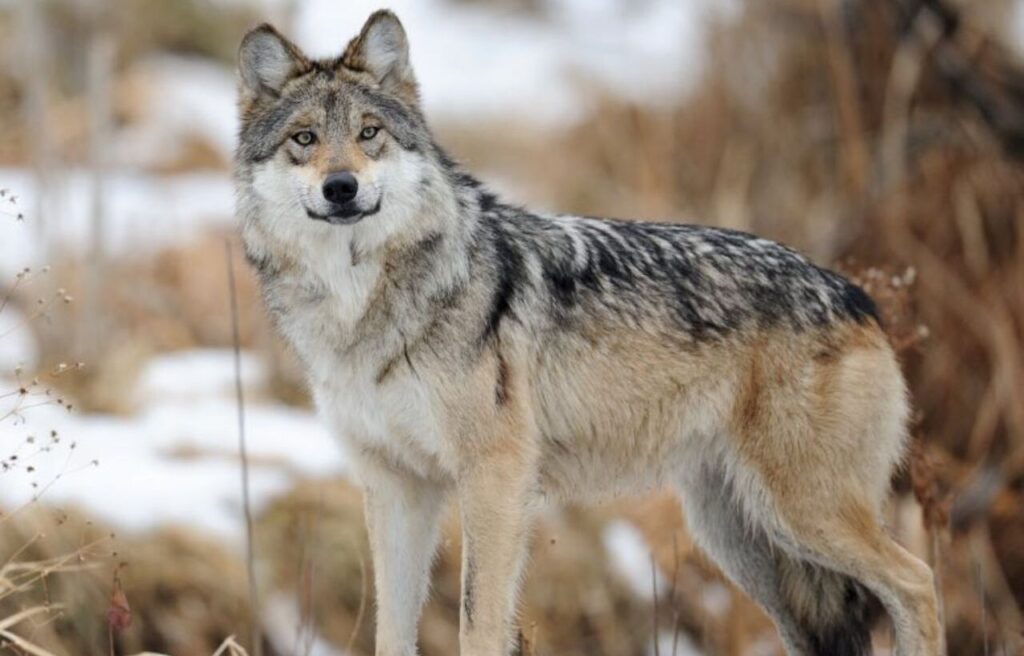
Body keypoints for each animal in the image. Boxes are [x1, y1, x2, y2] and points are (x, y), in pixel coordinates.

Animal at [234, 10, 942, 656]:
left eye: (369, 133)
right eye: (304, 138)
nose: (341, 186)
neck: (361, 309)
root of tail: (858, 298)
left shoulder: (495, 476)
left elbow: (477, 623)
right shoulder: (394, 487)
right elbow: (391, 630)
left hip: (802, 514)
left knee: (918, 582)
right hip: (742, 539)